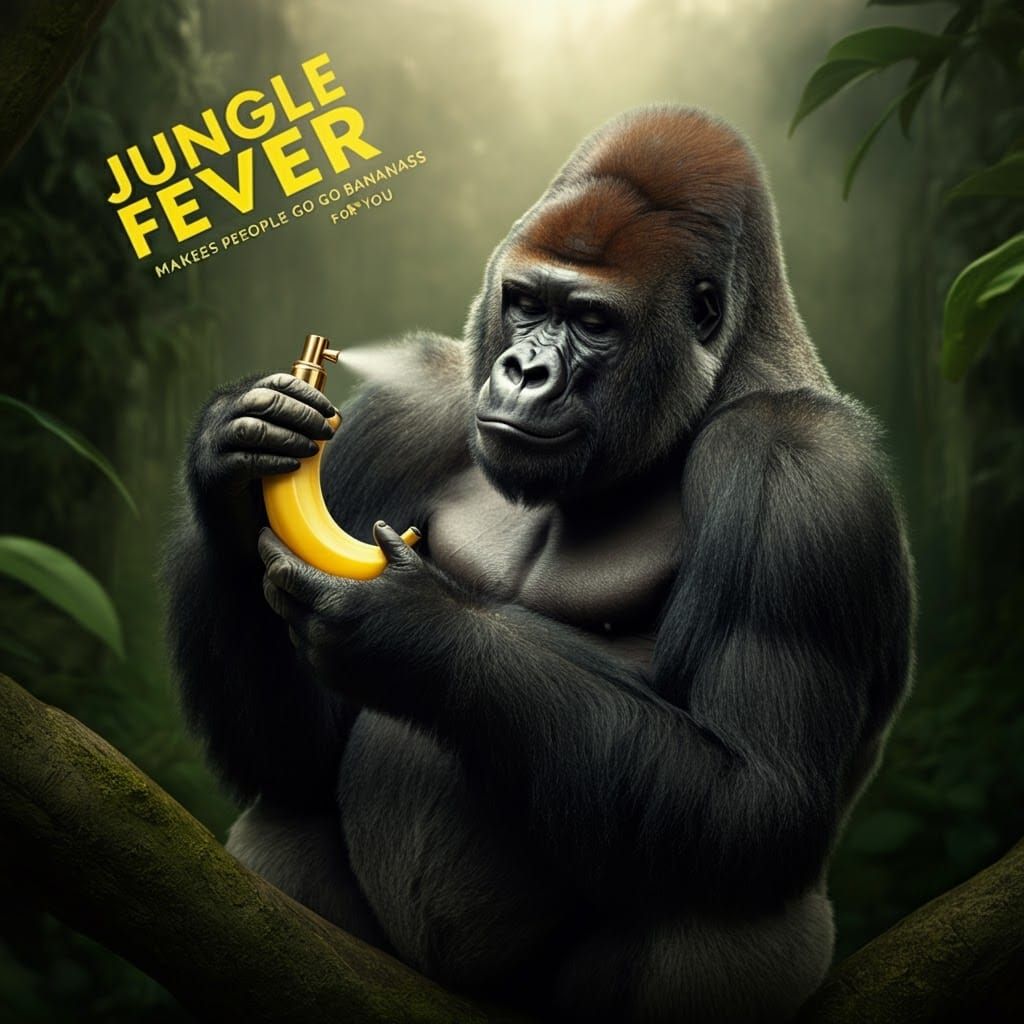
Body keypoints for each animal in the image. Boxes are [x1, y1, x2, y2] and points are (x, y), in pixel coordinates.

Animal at [163, 105, 914, 1023]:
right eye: (524, 304)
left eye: (592, 322)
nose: (523, 371)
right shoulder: (417, 402)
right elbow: (292, 764)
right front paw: (229, 462)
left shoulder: (800, 472)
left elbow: (758, 796)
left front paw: (414, 632)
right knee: (283, 821)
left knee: (721, 918)